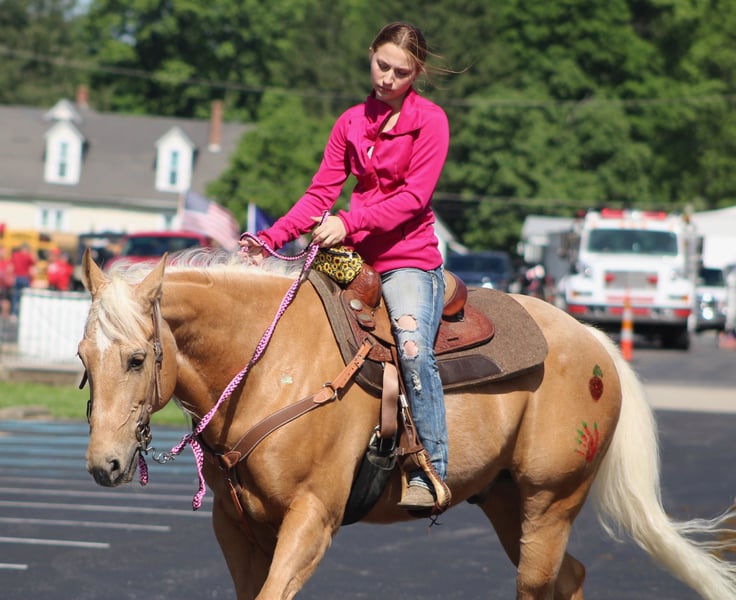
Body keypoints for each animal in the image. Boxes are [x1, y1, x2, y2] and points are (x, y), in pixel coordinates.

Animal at [77, 249, 736, 600]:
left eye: (136, 358)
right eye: (82, 358)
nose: (104, 465)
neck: (267, 364)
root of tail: (595, 341)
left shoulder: (312, 517)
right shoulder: (237, 528)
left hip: (552, 500)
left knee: (539, 582)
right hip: (506, 504)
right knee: (567, 576)